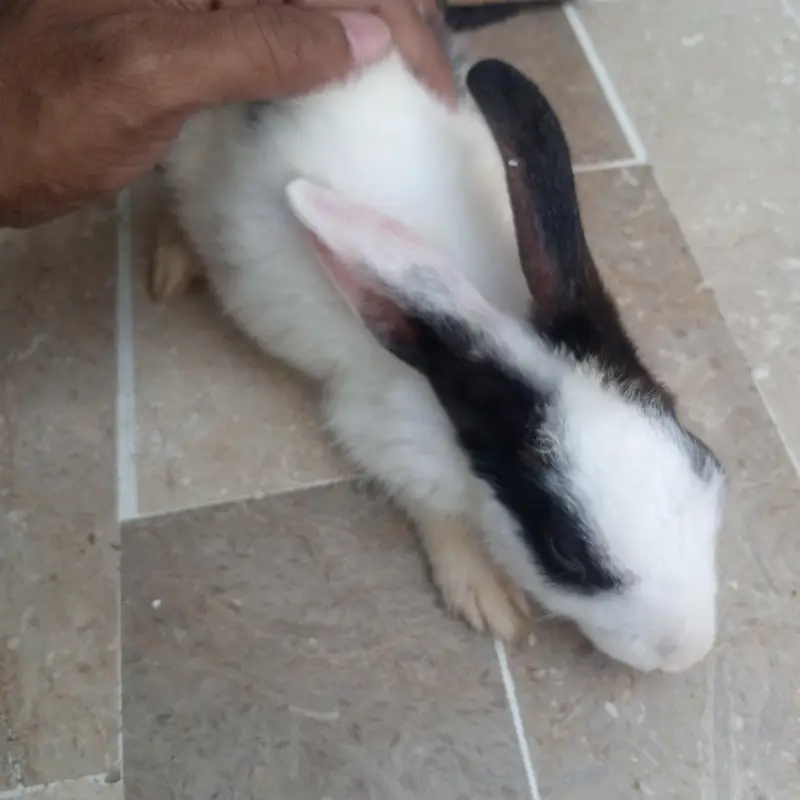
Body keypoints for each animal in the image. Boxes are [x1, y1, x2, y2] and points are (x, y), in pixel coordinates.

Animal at [155, 43, 727, 673]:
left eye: (706, 461)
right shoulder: (389, 441)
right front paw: (488, 596)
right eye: (565, 552)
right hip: (186, 165)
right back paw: (171, 266)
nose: (690, 649)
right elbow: (438, 515)